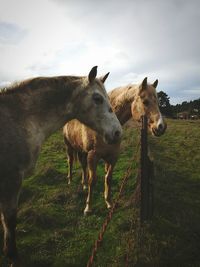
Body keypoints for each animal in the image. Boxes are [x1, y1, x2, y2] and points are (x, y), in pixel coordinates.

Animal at [0, 66, 122, 266]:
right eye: (97, 98)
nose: (118, 132)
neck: (19, 120)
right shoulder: (11, 180)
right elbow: (10, 220)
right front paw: (12, 256)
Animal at [63, 78, 166, 216]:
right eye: (145, 102)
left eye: (158, 102)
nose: (161, 127)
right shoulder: (93, 156)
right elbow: (92, 180)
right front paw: (88, 208)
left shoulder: (112, 157)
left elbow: (108, 178)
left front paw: (109, 202)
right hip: (69, 147)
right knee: (70, 161)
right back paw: (69, 180)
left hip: (82, 150)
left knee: (83, 165)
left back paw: (83, 184)